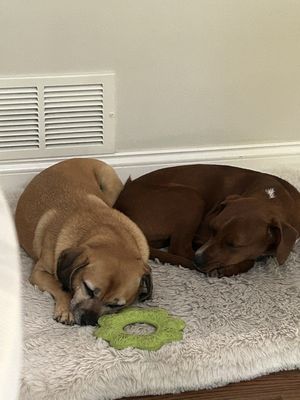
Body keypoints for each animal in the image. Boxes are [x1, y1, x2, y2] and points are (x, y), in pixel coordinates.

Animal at [15, 158, 152, 326]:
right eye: (88, 289)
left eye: (115, 305)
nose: (88, 321)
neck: (105, 230)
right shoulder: (38, 273)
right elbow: (61, 287)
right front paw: (65, 310)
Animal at [115, 164, 300, 276]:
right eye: (212, 229)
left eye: (233, 245)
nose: (198, 260)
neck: (271, 196)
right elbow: (250, 261)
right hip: (191, 198)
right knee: (179, 248)